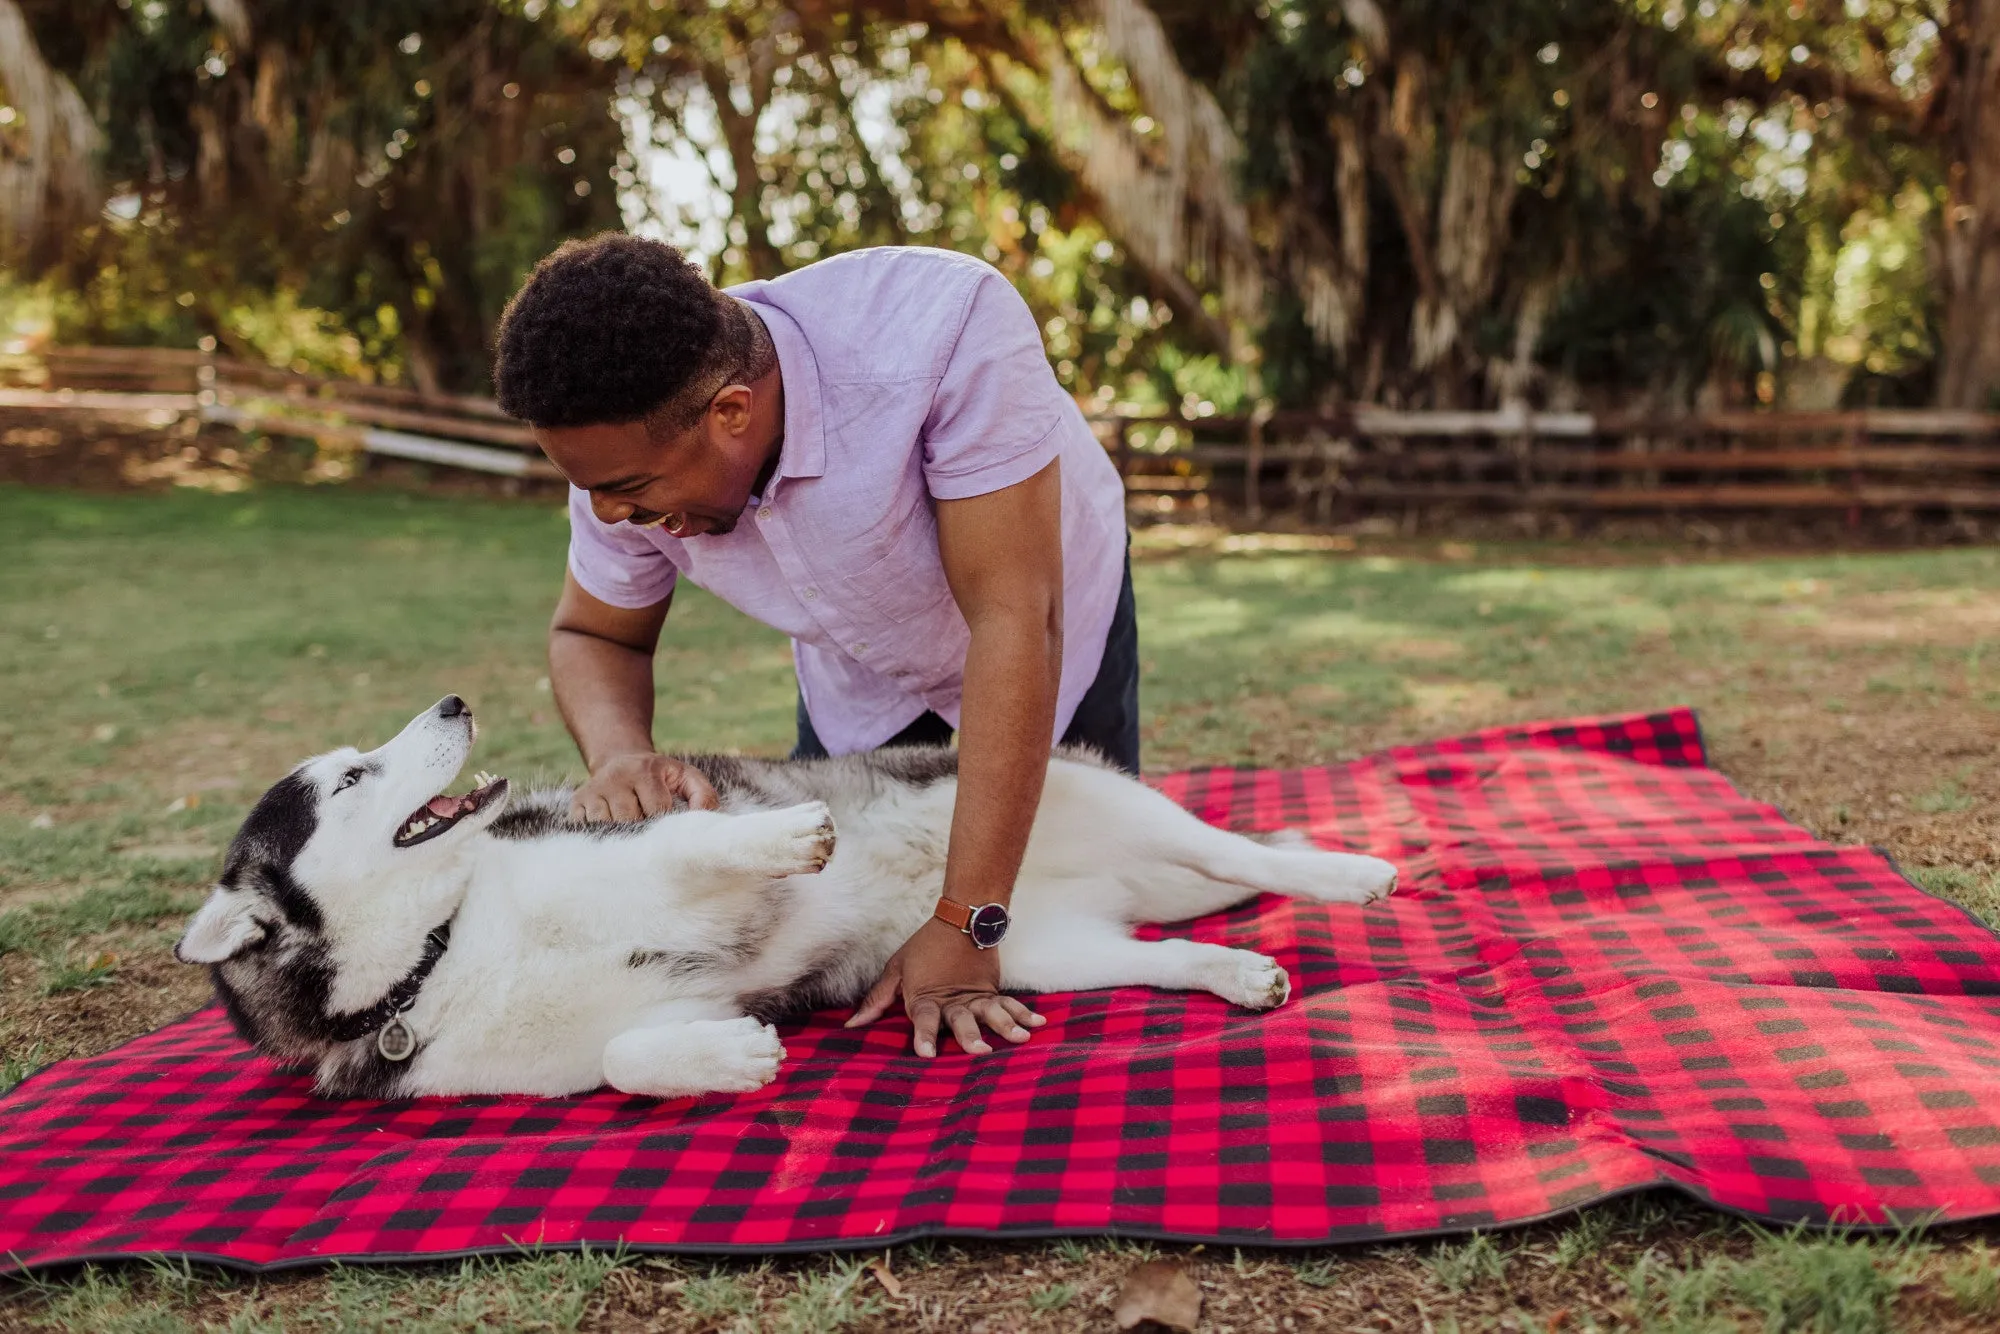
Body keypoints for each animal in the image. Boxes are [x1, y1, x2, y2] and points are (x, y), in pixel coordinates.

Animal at [172, 696, 1400, 1104]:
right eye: (349, 780)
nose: (456, 702)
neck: (443, 942)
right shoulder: (620, 1024)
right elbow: (627, 1054)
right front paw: (729, 1061)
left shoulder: (642, 845)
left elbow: (705, 840)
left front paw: (785, 832)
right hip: (1032, 949)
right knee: (1163, 945)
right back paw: (1236, 971)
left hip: (1106, 806)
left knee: (1242, 850)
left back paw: (1352, 869)